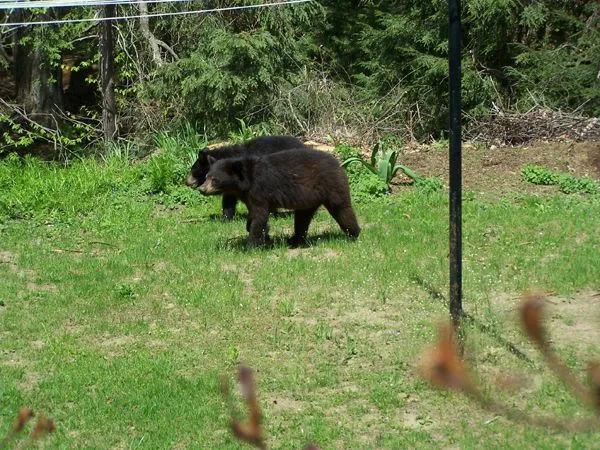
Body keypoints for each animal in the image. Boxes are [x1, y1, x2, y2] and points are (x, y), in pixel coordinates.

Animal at [199, 148, 360, 246]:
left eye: (215, 179)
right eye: (207, 176)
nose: (201, 189)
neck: (247, 181)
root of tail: (338, 163)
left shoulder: (259, 190)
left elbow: (260, 214)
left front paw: (250, 244)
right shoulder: (249, 195)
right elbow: (254, 214)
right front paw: (262, 234)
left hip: (332, 187)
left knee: (342, 209)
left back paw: (353, 234)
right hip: (308, 198)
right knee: (302, 218)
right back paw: (294, 240)